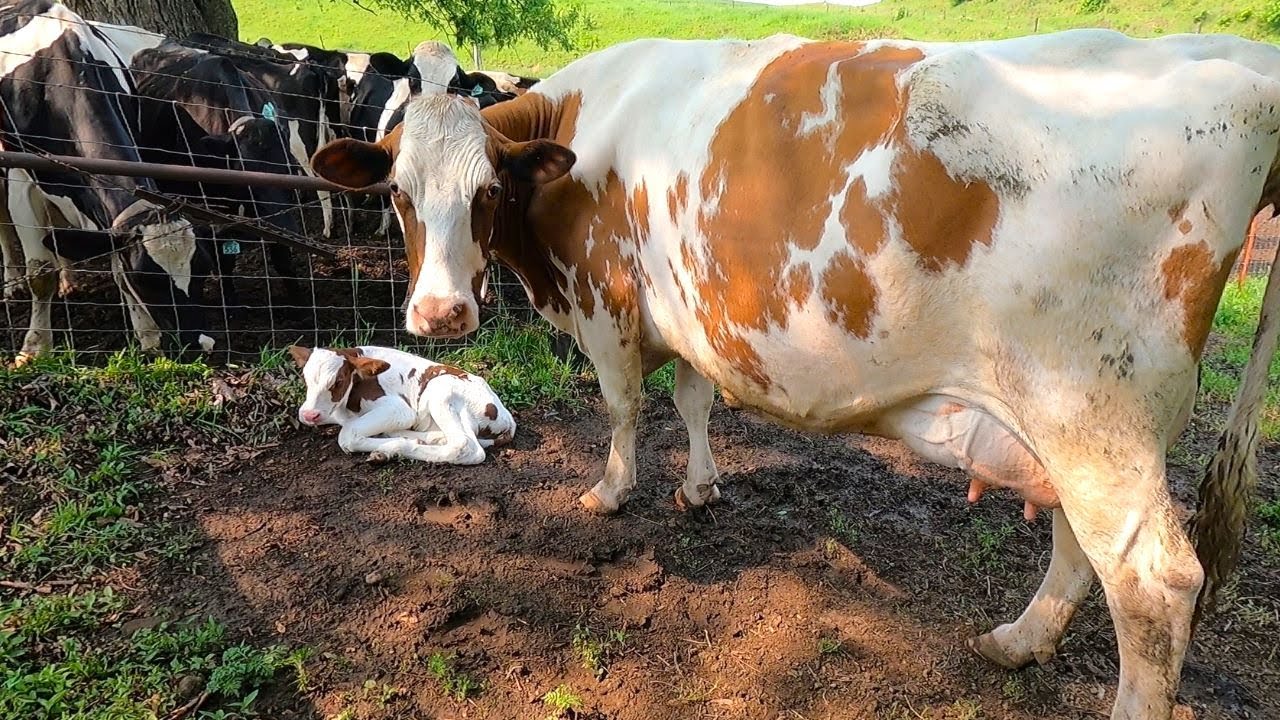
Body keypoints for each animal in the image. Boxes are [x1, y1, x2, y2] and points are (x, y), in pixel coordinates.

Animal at [0, 0, 216, 363]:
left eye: (202, 266)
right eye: (146, 278)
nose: (202, 343)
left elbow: (113, 261)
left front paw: (147, 336)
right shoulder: (21, 180)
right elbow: (40, 273)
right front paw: (34, 348)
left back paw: (69, 278)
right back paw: (13, 281)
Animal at [289, 344, 515, 464]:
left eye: (338, 381)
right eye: (305, 378)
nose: (310, 414)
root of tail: (508, 419)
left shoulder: (400, 410)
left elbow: (347, 436)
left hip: (440, 388)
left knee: (466, 446)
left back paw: (393, 448)